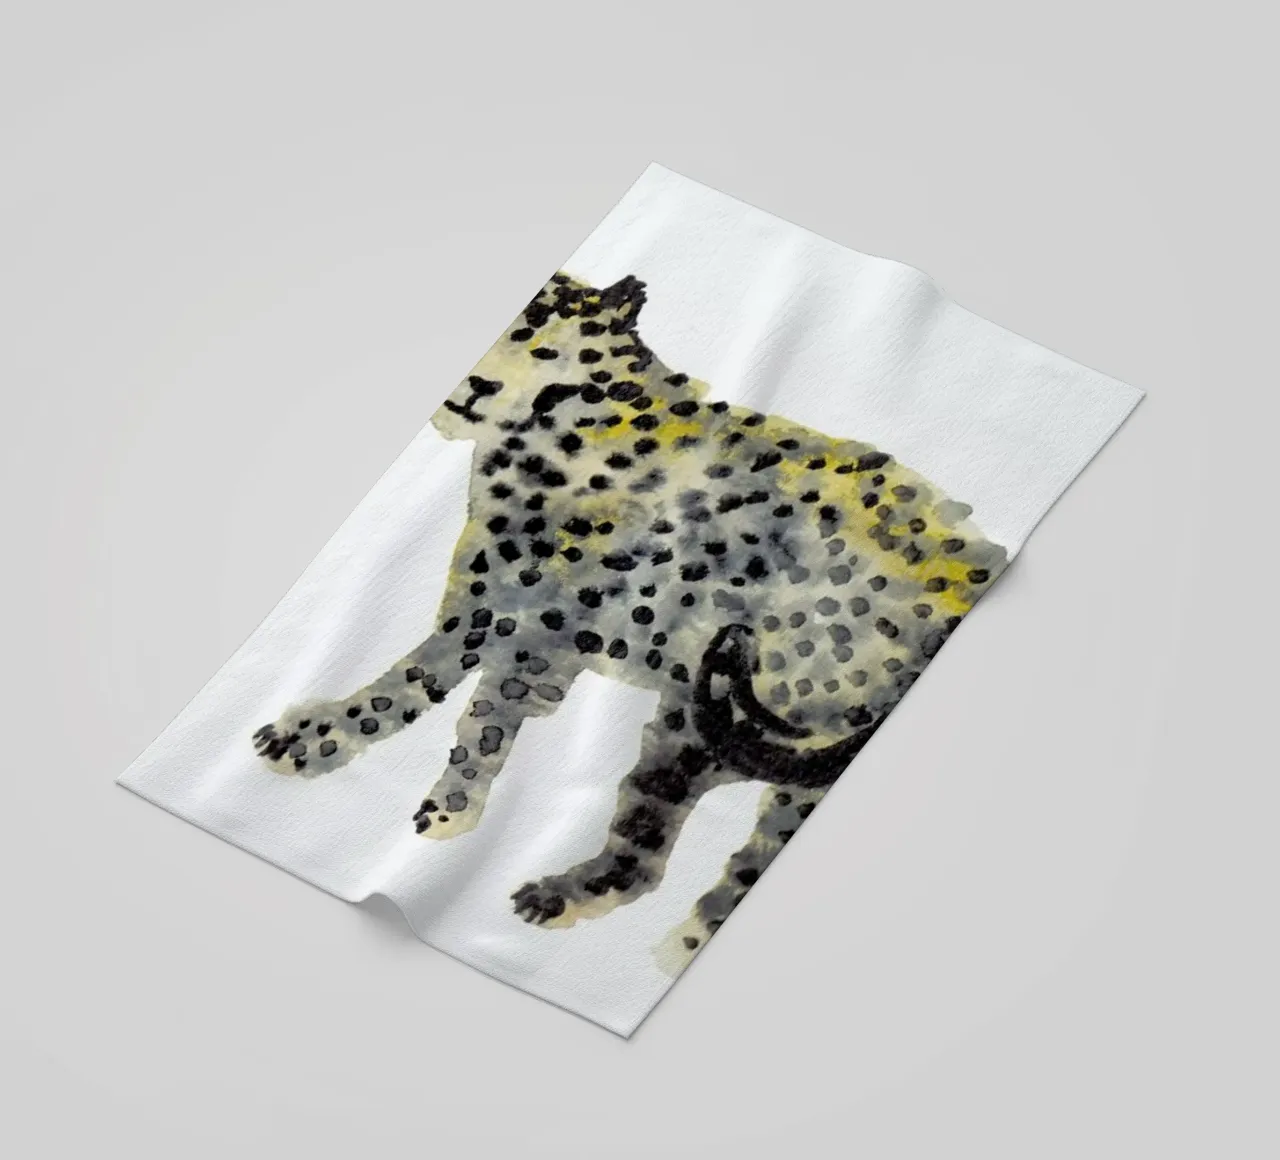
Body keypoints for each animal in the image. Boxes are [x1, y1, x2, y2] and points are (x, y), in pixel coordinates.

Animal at [252, 271, 1008, 972]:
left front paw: (424, 801)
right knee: (652, 854)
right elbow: (432, 695)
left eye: (542, 343)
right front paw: (354, 758)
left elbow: (455, 707)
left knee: (709, 860)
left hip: (749, 724)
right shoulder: (498, 616)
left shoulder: (525, 631)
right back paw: (583, 905)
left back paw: (637, 933)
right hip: (702, 727)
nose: (477, 384)